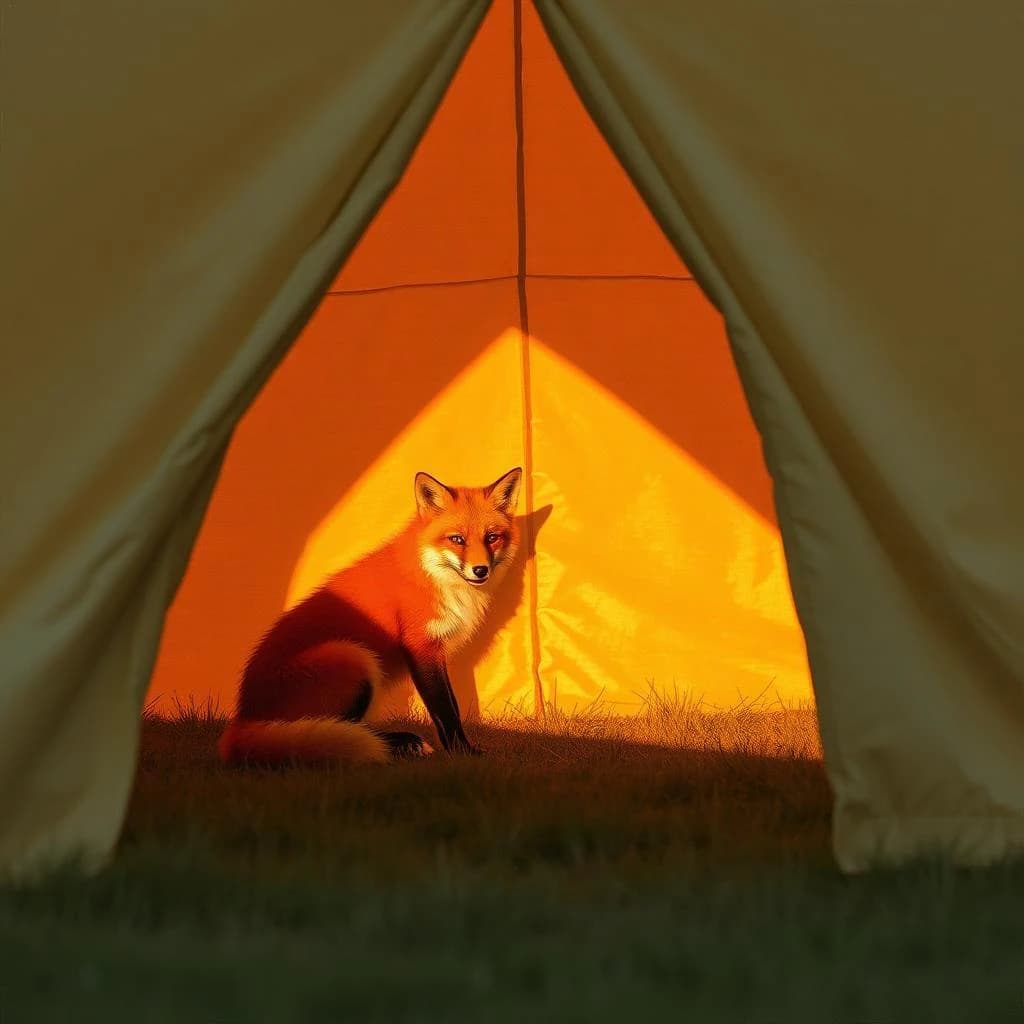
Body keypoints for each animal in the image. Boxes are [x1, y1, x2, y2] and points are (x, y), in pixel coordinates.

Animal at [217, 467, 523, 767]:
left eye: (492, 538)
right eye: (457, 539)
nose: (480, 570)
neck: (432, 574)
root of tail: (243, 718)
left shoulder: (436, 650)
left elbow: (452, 704)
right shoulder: (421, 647)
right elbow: (446, 709)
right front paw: (462, 753)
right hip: (353, 656)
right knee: (343, 726)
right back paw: (398, 743)